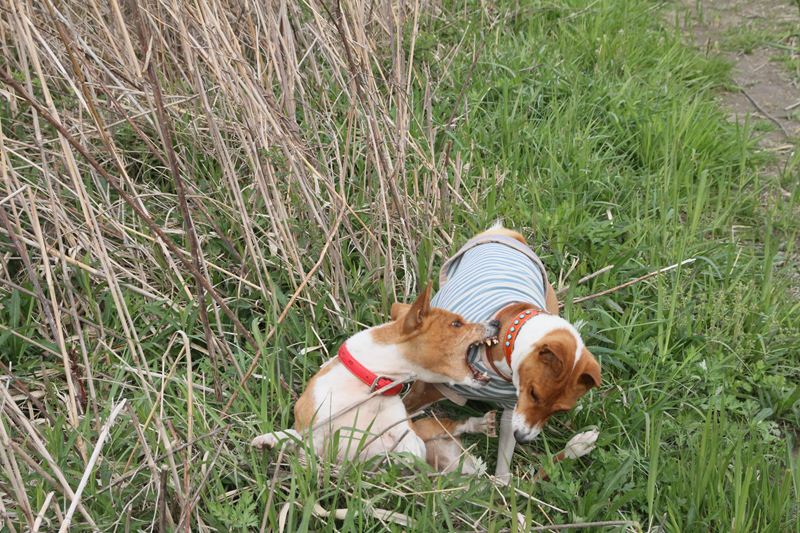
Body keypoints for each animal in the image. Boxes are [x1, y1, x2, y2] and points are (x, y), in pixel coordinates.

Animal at [251, 284, 501, 469]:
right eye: (457, 323)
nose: (496, 322)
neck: (367, 387)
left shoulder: (405, 432)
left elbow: (410, 447)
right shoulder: (315, 433)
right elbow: (299, 445)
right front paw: (273, 441)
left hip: (427, 427)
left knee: (451, 425)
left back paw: (480, 424)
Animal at [403, 225, 602, 482]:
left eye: (560, 410)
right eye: (535, 394)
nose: (523, 439)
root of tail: (508, 234)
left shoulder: (513, 410)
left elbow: (503, 480)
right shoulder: (427, 391)